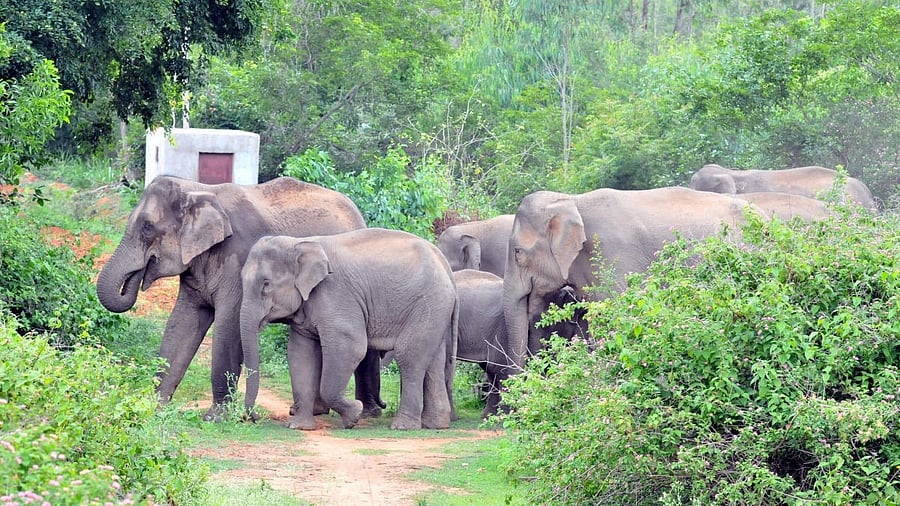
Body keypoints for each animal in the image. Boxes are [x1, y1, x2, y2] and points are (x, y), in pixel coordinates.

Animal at [95, 175, 386, 421]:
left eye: (147, 228)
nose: (252, 416)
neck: (197, 189)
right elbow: (181, 325)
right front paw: (154, 409)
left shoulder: (239, 257)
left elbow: (228, 324)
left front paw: (216, 418)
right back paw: (314, 411)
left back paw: (367, 412)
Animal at [239, 228, 459, 431]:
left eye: (266, 284)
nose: (253, 417)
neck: (299, 243)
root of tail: (445, 265)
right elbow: (300, 354)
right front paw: (298, 426)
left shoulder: (335, 294)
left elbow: (351, 346)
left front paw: (355, 414)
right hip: (436, 307)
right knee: (433, 361)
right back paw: (436, 424)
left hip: (428, 302)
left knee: (409, 356)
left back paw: (402, 426)